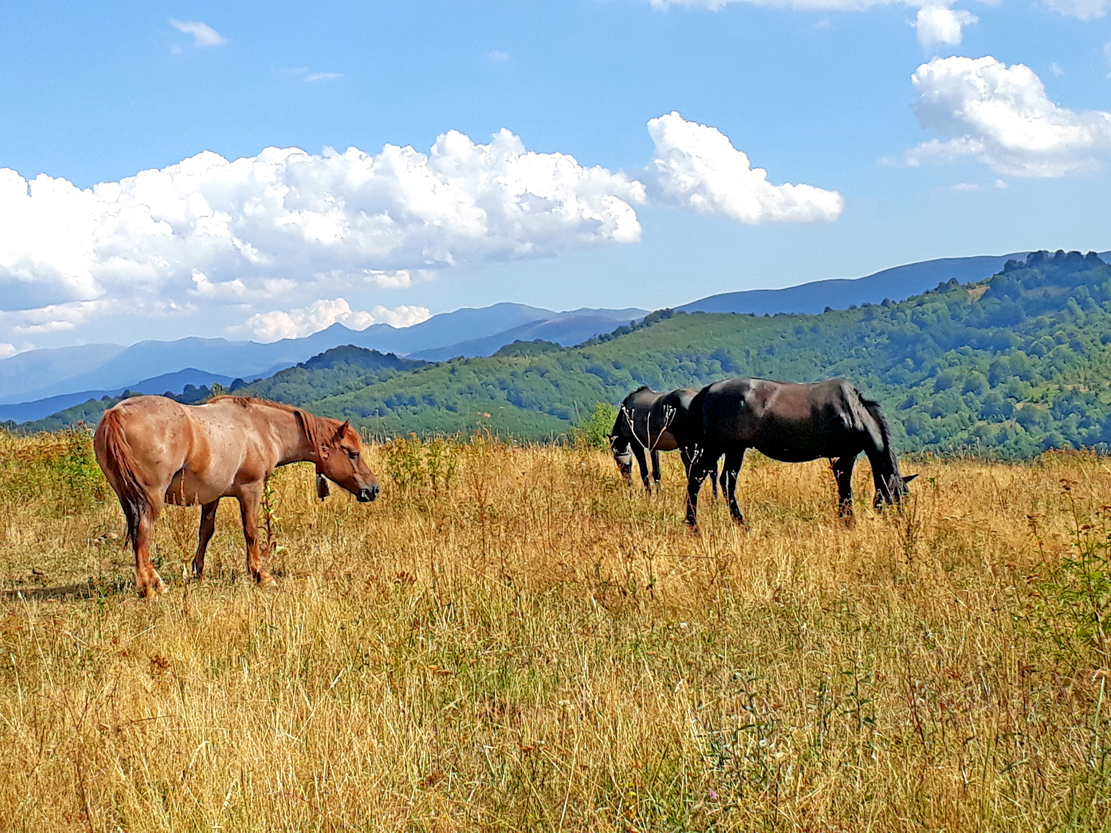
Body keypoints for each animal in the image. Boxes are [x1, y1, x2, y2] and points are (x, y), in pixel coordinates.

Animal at [94, 395, 380, 598]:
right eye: (353, 453)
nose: (373, 489)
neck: (260, 428)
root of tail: (116, 414)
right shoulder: (250, 490)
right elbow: (251, 532)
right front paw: (261, 574)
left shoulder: (211, 496)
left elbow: (205, 532)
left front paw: (198, 573)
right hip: (149, 499)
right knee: (142, 535)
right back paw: (150, 587)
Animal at [683, 377, 915, 527]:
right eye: (894, 497)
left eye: (905, 496)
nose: (900, 523)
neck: (853, 411)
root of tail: (710, 389)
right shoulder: (843, 456)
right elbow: (845, 488)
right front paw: (848, 521)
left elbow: (844, 488)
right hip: (716, 447)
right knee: (697, 477)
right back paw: (693, 524)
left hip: (735, 448)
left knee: (727, 481)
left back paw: (740, 523)